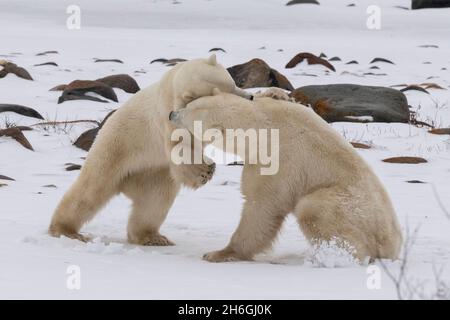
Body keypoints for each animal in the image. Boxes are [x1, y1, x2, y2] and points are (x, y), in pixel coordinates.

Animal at [50, 55, 253, 245]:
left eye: (232, 84)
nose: (250, 97)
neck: (173, 84)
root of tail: (128, 182)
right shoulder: (167, 116)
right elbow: (179, 147)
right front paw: (204, 171)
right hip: (114, 149)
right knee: (90, 190)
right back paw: (65, 230)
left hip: (155, 173)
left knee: (154, 201)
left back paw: (152, 237)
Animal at [170, 90, 404, 262]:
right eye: (188, 104)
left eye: (188, 114)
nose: (172, 114)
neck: (264, 127)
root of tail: (392, 244)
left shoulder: (280, 163)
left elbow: (262, 206)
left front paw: (219, 253)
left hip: (352, 207)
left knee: (315, 209)